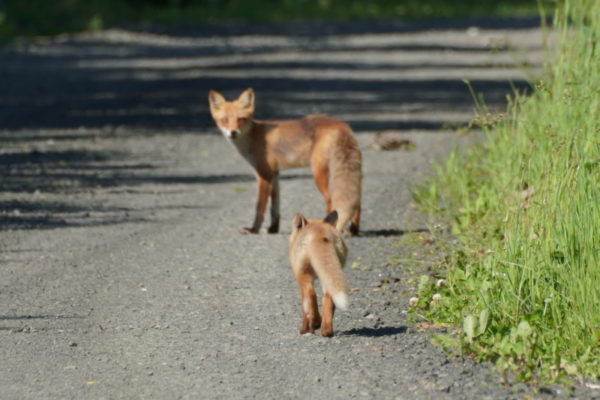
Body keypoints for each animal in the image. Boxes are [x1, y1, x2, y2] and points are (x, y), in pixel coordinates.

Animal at [209, 88, 364, 234]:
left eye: (240, 119)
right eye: (224, 120)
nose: (233, 132)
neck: (253, 138)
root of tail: (341, 124)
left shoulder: (263, 174)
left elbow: (260, 207)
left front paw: (253, 229)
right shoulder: (275, 173)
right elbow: (274, 207)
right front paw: (273, 229)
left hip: (318, 172)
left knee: (331, 199)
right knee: (357, 201)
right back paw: (353, 230)